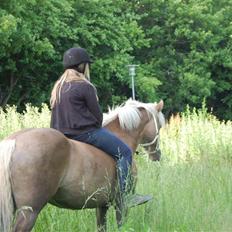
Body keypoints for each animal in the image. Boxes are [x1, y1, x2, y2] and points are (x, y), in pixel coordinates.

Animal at [0, 99, 165, 231]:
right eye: (160, 126)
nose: (157, 155)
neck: (122, 136)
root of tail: (14, 140)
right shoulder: (121, 204)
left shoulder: (102, 205)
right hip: (29, 212)